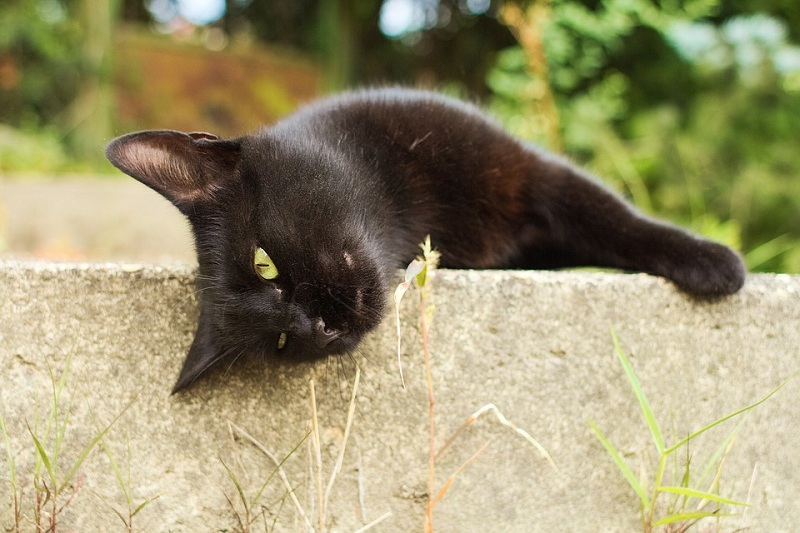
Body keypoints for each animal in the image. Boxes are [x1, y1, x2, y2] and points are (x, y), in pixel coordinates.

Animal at [104, 88, 744, 390]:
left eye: (265, 262)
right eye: (282, 343)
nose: (321, 326)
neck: (408, 215)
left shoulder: (530, 174)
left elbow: (614, 217)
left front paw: (713, 263)